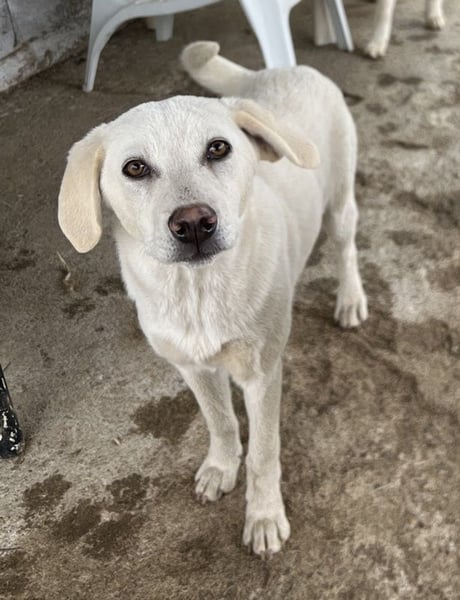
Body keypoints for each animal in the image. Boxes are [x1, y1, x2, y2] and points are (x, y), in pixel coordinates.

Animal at [58, 42, 368, 557]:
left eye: (218, 148)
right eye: (135, 168)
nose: (193, 223)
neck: (197, 292)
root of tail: (284, 69)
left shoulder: (262, 376)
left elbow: (264, 453)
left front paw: (264, 517)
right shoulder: (193, 368)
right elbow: (221, 423)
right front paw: (222, 468)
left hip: (341, 203)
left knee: (346, 249)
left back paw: (350, 299)